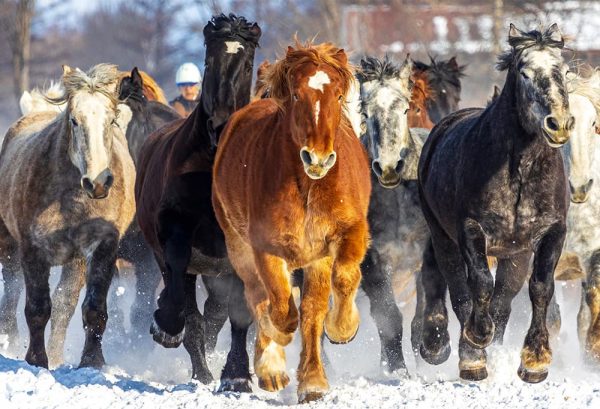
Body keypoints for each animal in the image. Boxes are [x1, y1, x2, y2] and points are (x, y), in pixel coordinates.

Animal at [0, 63, 135, 366]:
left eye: (112, 120)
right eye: (74, 120)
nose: (98, 182)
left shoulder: (100, 248)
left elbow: (91, 308)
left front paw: (91, 361)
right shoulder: (32, 249)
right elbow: (37, 308)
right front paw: (37, 360)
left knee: (64, 304)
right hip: (8, 245)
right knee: (12, 293)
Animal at [134, 14, 260, 390]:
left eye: (247, 63)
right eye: (208, 61)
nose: (218, 124)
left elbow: (237, 315)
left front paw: (236, 375)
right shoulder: (176, 232)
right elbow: (182, 301)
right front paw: (165, 326)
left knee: (215, 311)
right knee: (189, 304)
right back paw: (196, 366)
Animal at [211, 40, 370, 402]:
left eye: (337, 95)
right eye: (297, 95)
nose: (318, 158)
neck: (308, 186)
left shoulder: (344, 235)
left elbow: (341, 282)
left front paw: (343, 328)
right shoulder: (266, 248)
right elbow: (280, 308)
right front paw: (274, 347)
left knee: (310, 310)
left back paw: (311, 379)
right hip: (238, 246)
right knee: (258, 295)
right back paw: (270, 367)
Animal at [414, 23, 576, 382]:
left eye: (564, 70)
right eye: (525, 72)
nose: (559, 124)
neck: (519, 171)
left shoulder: (549, 234)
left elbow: (540, 287)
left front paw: (535, 361)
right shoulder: (471, 230)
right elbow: (478, 284)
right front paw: (475, 344)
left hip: (514, 254)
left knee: (503, 301)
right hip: (443, 236)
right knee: (453, 286)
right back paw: (457, 351)